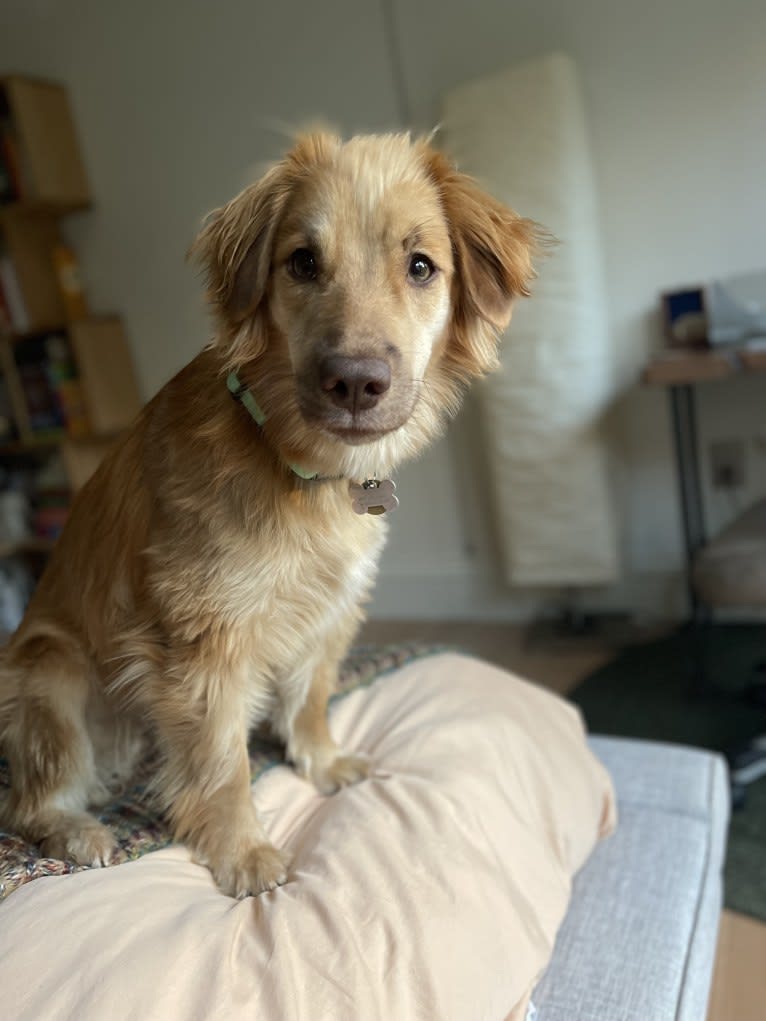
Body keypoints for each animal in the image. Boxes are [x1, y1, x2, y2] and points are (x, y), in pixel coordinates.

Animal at [0, 131, 543, 898]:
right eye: (303, 262)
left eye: (420, 266)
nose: (355, 382)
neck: (297, 465)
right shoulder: (205, 642)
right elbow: (223, 764)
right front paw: (243, 851)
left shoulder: (330, 608)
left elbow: (310, 697)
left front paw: (322, 760)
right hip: (52, 672)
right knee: (26, 801)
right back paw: (80, 830)